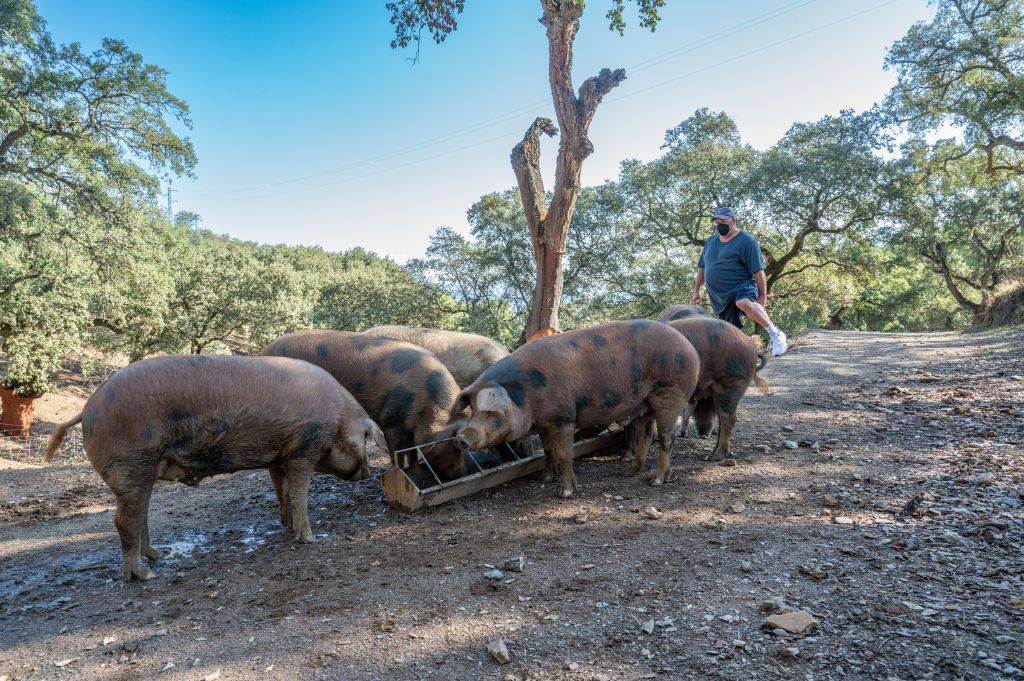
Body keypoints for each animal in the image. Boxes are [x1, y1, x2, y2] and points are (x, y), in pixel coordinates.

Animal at [43, 352, 380, 581]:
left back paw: (157, 555)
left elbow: (283, 492)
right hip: (131, 465)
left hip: (141, 472)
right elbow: (299, 496)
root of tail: (88, 407)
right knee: (124, 521)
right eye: (366, 439)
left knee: (141, 517)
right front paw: (310, 539)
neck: (338, 419)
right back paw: (145, 574)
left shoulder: (281, 455)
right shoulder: (303, 451)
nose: (369, 472)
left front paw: (289, 528)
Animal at [260, 327, 468, 477]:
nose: (461, 473)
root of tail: (264, 351)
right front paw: (399, 472)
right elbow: (397, 452)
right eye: (456, 443)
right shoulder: (390, 422)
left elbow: (413, 452)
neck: (428, 408)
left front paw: (414, 467)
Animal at [452, 321, 700, 497]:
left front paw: (566, 493)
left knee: (667, 437)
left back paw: (656, 482)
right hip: (644, 403)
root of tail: (690, 349)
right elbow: (548, 451)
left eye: (493, 412)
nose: (461, 438)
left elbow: (564, 454)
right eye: (473, 408)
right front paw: (544, 479)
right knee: (647, 436)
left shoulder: (563, 419)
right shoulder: (545, 424)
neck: (526, 395)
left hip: (671, 393)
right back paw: (630, 473)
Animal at [622, 315, 770, 458]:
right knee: (722, 418)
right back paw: (712, 453)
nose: (703, 433)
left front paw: (627, 457)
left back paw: (718, 456)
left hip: (732, 383)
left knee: (729, 418)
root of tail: (751, 344)